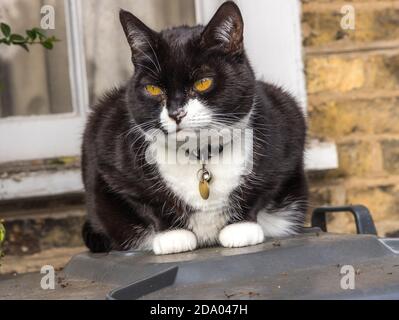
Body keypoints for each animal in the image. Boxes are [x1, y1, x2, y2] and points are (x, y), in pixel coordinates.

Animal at [82, 0, 310, 255]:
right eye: (153, 89)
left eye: (203, 82)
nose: (176, 113)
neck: (200, 155)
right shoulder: (105, 148)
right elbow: (145, 201)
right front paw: (172, 235)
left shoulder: (289, 126)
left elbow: (263, 189)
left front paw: (241, 228)